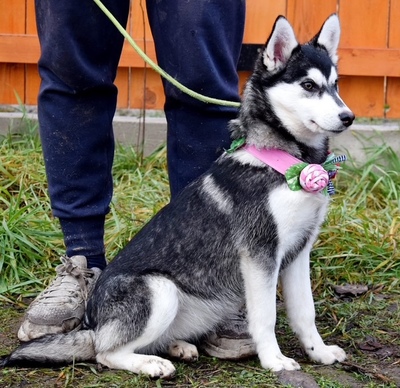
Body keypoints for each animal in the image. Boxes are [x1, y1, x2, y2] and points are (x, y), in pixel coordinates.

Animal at [1, 15, 354, 378]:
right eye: (308, 85)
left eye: (336, 85)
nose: (348, 117)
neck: (288, 162)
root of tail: (93, 323)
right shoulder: (260, 256)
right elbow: (266, 316)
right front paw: (274, 360)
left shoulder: (298, 252)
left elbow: (305, 312)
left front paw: (319, 352)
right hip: (160, 289)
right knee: (105, 352)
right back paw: (151, 364)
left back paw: (176, 347)